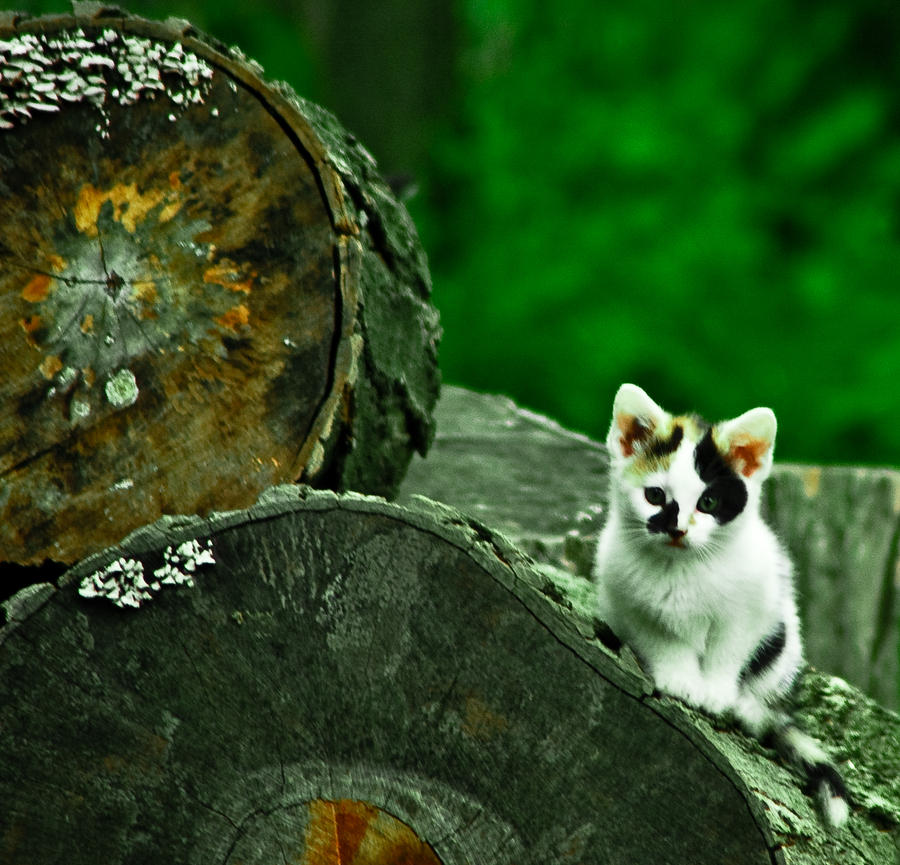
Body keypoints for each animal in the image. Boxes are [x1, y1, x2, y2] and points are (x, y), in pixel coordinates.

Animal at [596, 384, 848, 824]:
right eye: (655, 496)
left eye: (709, 503)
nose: (678, 530)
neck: (682, 567)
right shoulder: (625, 601)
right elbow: (662, 639)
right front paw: (680, 679)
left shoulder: (754, 606)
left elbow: (728, 649)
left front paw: (714, 691)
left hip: (782, 645)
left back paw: (748, 707)